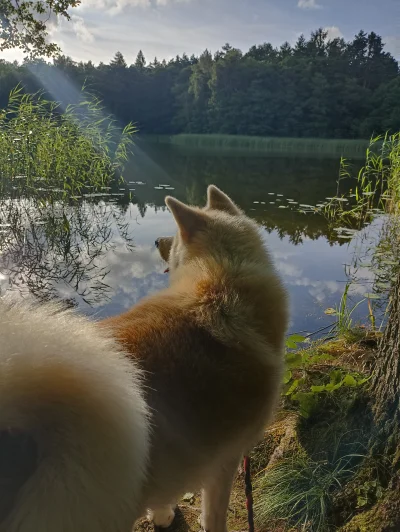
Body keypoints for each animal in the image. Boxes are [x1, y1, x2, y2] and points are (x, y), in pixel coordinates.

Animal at [0, 185, 288, 528]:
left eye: (173, 239)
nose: (157, 241)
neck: (221, 284)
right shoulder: (223, 464)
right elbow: (214, 517)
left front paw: (161, 515)